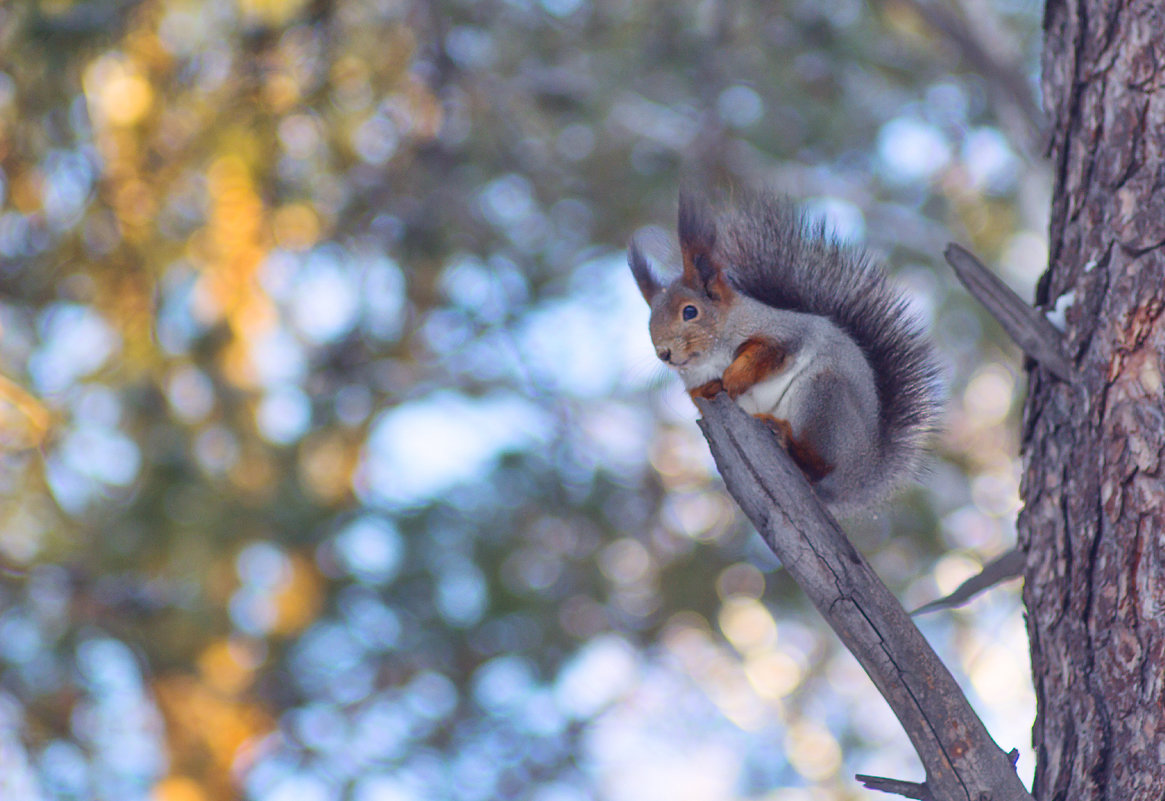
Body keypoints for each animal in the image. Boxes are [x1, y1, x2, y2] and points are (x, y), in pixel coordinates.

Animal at [629, 189, 945, 512]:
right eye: (650, 321)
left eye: (690, 312)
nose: (664, 353)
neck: (711, 359)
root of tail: (863, 478)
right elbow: (699, 394)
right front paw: (712, 388)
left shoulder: (788, 335)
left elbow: (765, 354)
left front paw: (734, 377)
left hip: (824, 397)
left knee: (820, 466)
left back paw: (784, 436)